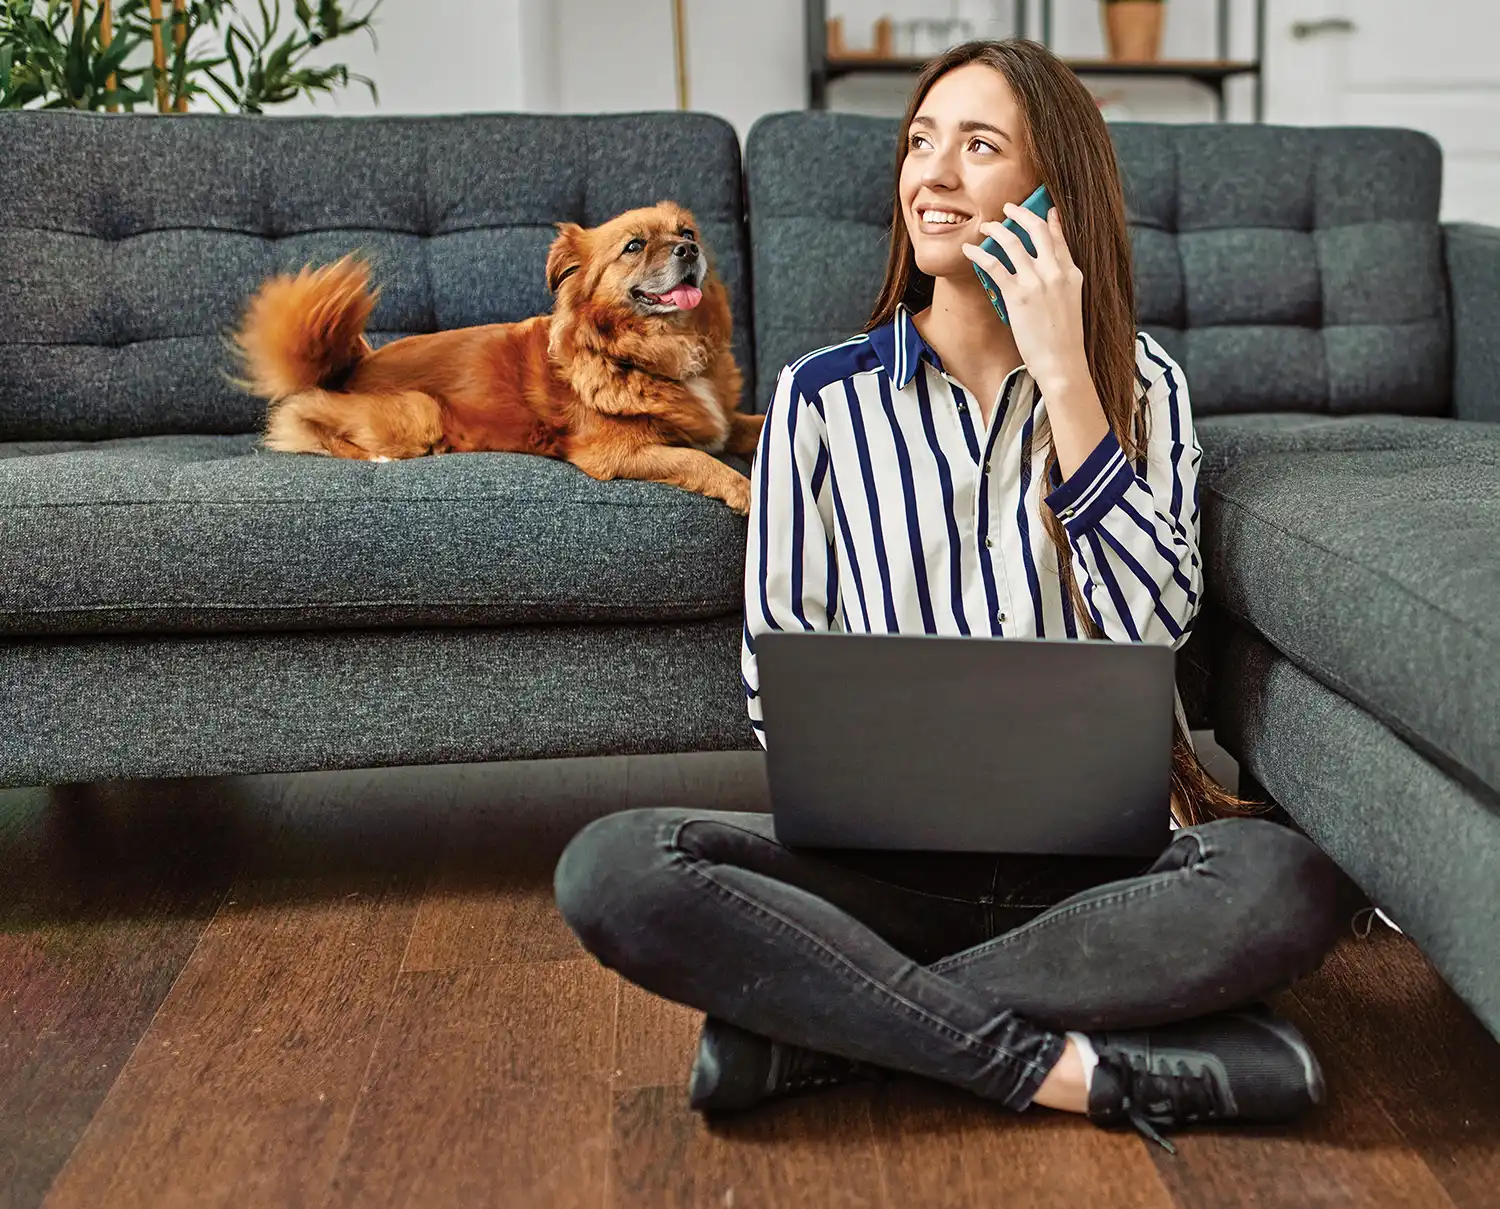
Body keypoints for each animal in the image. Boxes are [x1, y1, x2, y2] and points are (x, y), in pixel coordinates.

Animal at [232, 202, 762, 510]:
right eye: (633, 246)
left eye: (687, 233)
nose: (688, 251)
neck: (656, 347)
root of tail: (352, 365)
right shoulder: (615, 455)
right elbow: (701, 462)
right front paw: (747, 490)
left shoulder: (724, 420)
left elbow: (751, 425)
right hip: (421, 410)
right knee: (309, 425)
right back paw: (381, 458)